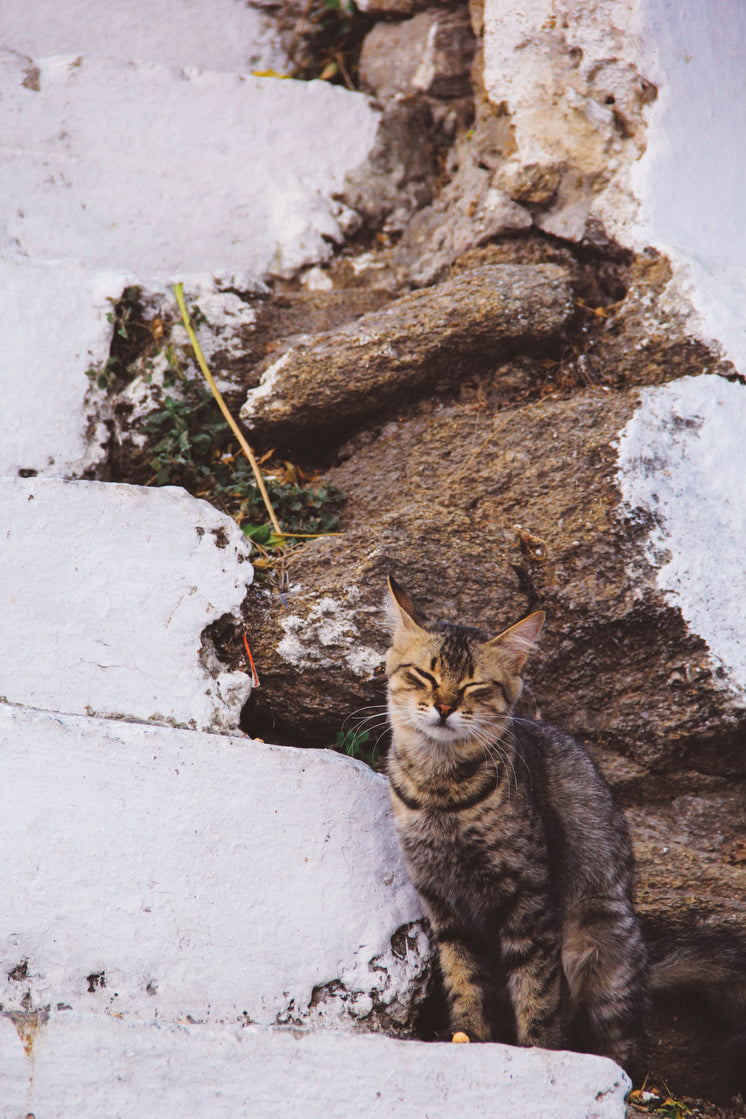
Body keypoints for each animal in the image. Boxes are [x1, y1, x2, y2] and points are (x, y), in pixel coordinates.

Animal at [384, 572, 648, 1069]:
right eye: (424, 675)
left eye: (474, 686)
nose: (444, 707)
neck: (440, 793)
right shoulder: (441, 901)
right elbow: (464, 978)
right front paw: (469, 1036)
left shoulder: (529, 900)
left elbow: (536, 990)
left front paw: (537, 1052)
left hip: (602, 942)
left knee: (623, 1039)